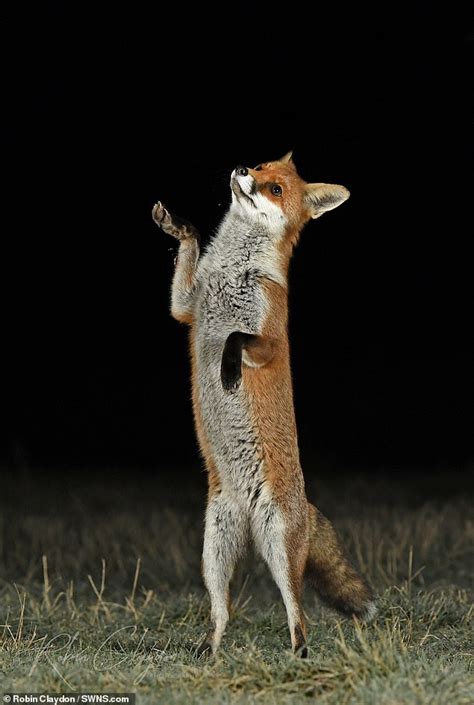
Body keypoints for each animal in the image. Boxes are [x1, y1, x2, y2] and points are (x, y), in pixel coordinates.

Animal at [152, 151, 374, 656]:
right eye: (259, 164)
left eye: (275, 188)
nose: (240, 171)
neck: (233, 270)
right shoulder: (185, 307)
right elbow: (189, 253)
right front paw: (178, 226)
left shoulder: (269, 337)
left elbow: (236, 338)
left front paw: (229, 371)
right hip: (213, 552)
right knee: (222, 611)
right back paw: (210, 652)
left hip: (279, 550)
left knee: (299, 613)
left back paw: (299, 655)